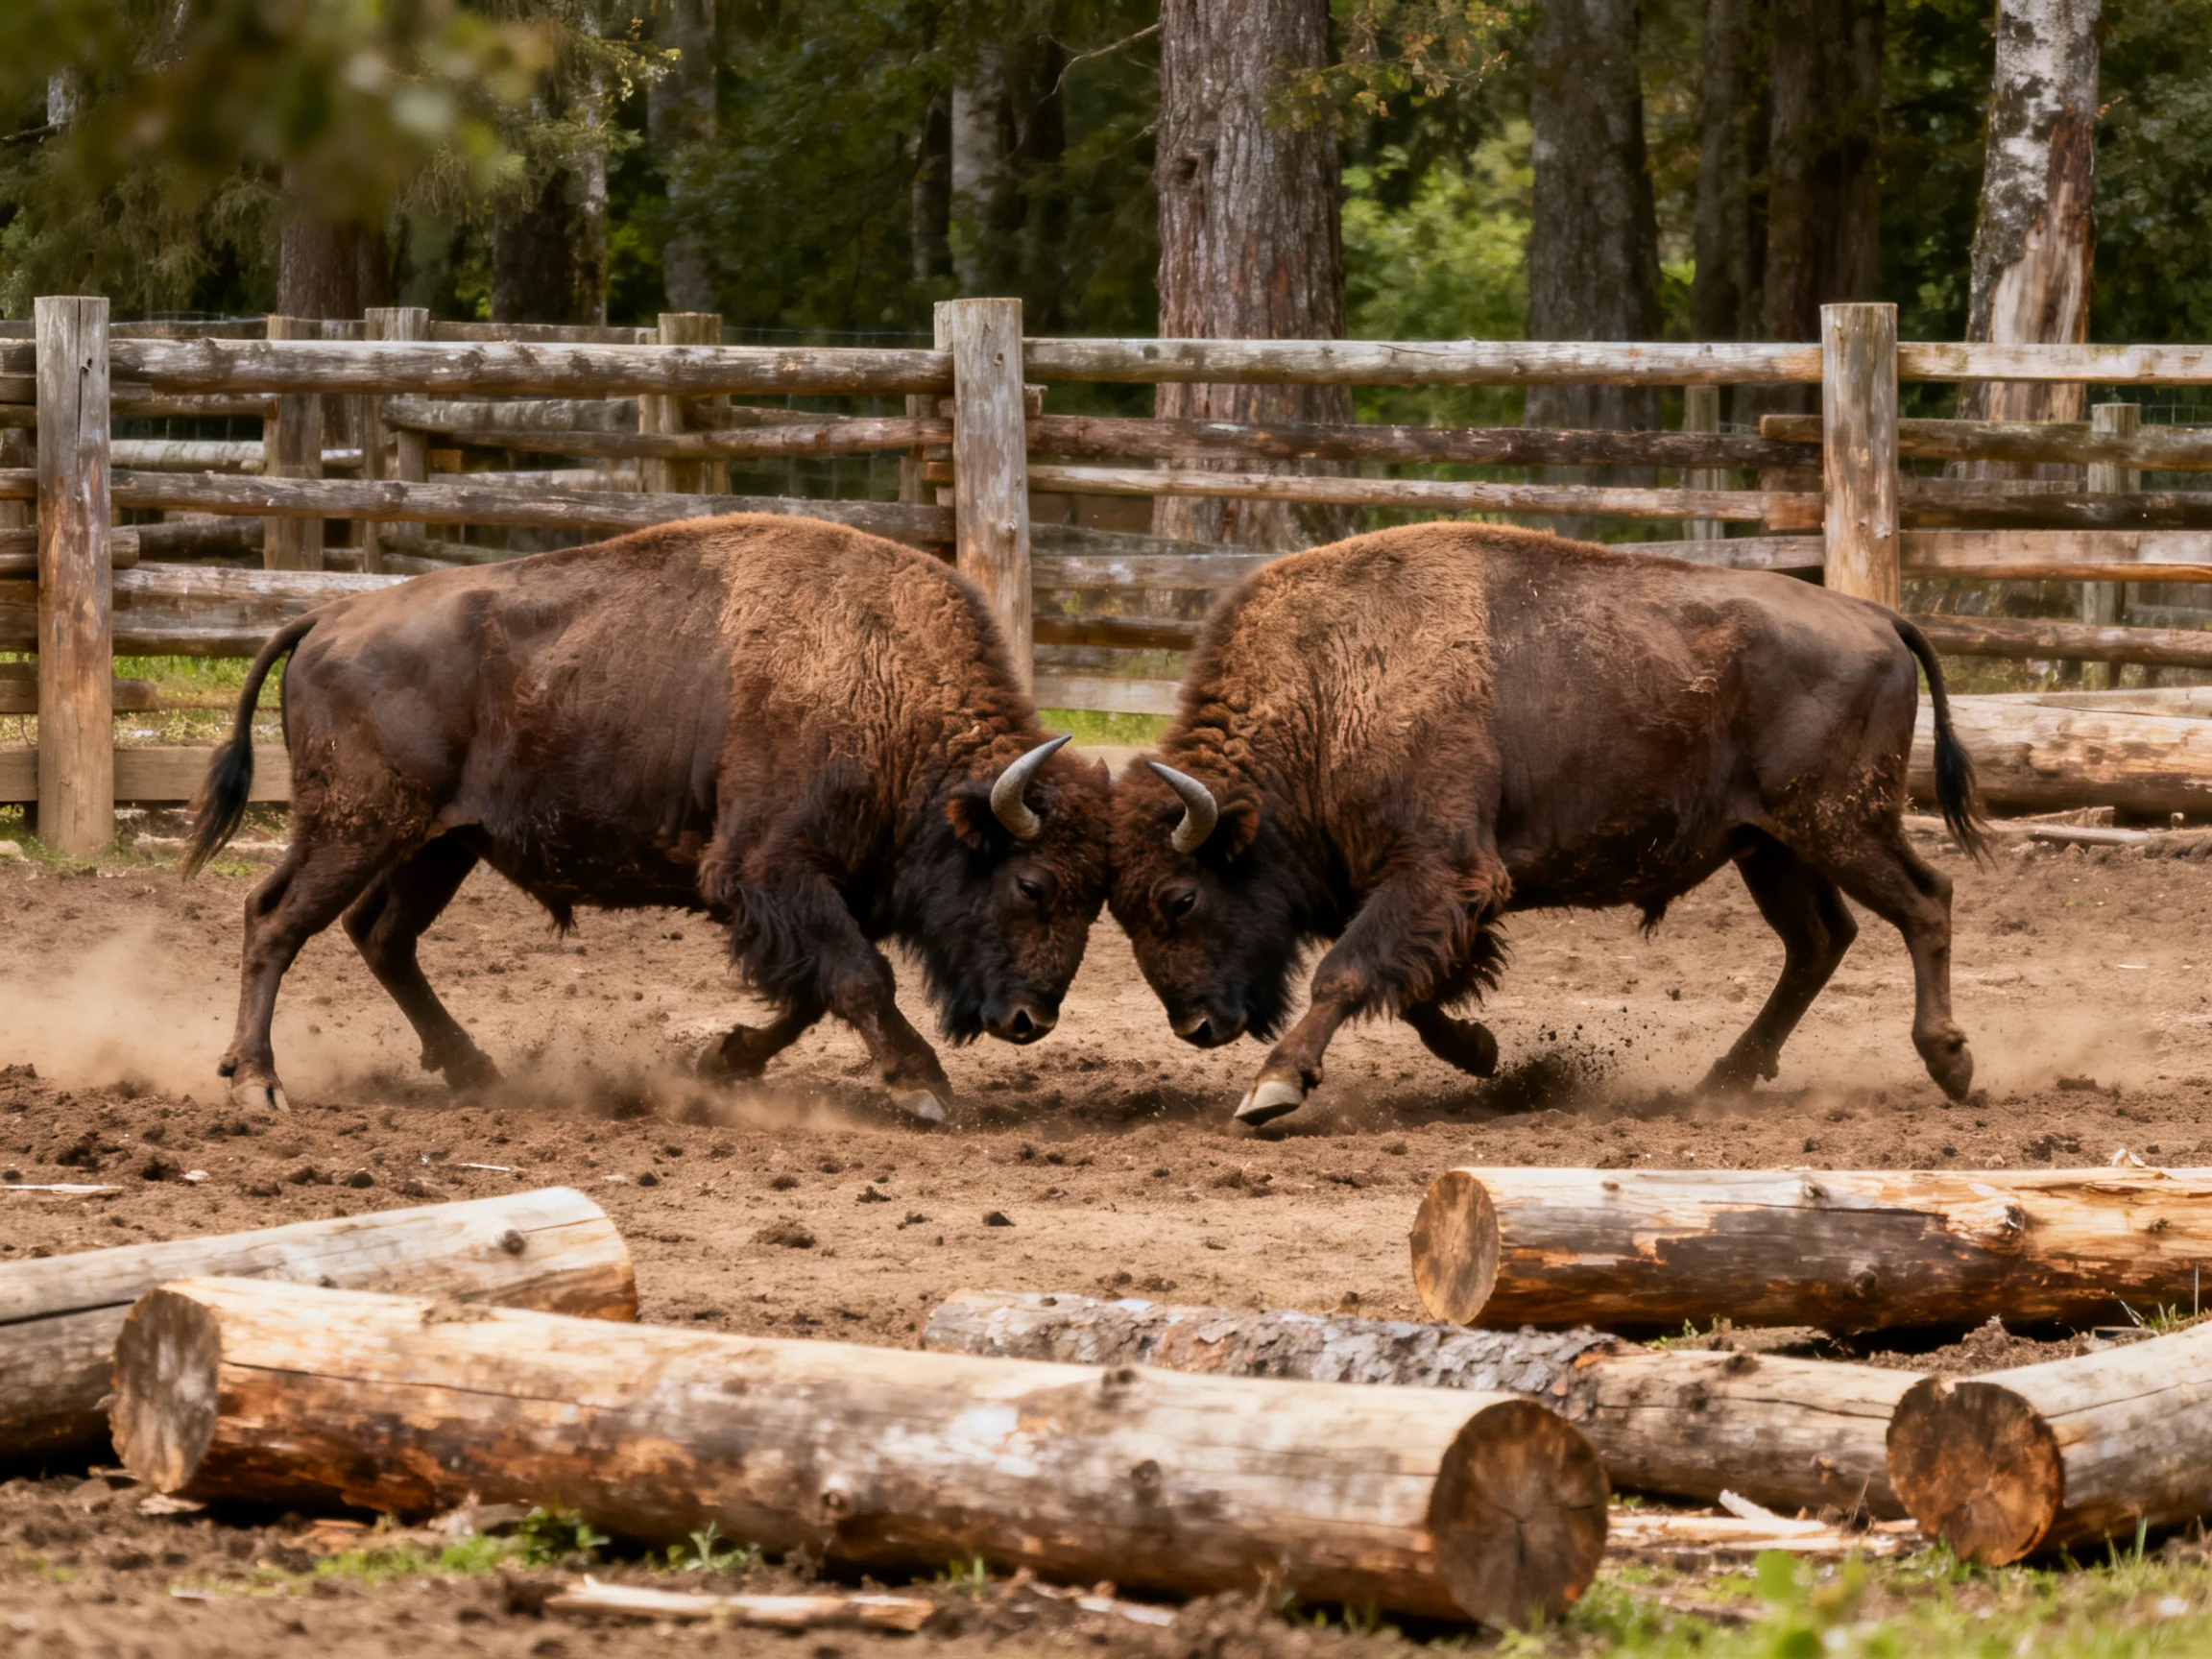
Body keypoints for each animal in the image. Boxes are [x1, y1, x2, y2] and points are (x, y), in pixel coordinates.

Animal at [186, 514, 1112, 1121]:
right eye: (1032, 884)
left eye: (1096, 896)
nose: (1031, 1021)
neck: (884, 686)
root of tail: (327, 617)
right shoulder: (766, 871)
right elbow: (857, 978)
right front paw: (924, 1088)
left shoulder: (800, 894)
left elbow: (809, 994)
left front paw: (723, 1060)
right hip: (359, 828)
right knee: (276, 919)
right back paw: (258, 1085)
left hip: (438, 845)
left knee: (381, 936)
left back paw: (475, 1072)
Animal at [1110, 523, 1986, 1125]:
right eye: (1120, 914)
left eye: (1182, 898)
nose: (1196, 1026)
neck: (1328, 688)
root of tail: (1874, 615)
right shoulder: (1428, 890)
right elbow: (1414, 987)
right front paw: (1482, 1052)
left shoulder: (1439, 869)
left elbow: (1348, 972)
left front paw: (1273, 1086)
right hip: (1770, 847)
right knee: (1819, 941)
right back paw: (1723, 1078)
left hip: (1839, 827)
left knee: (1923, 901)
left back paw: (1949, 1062)